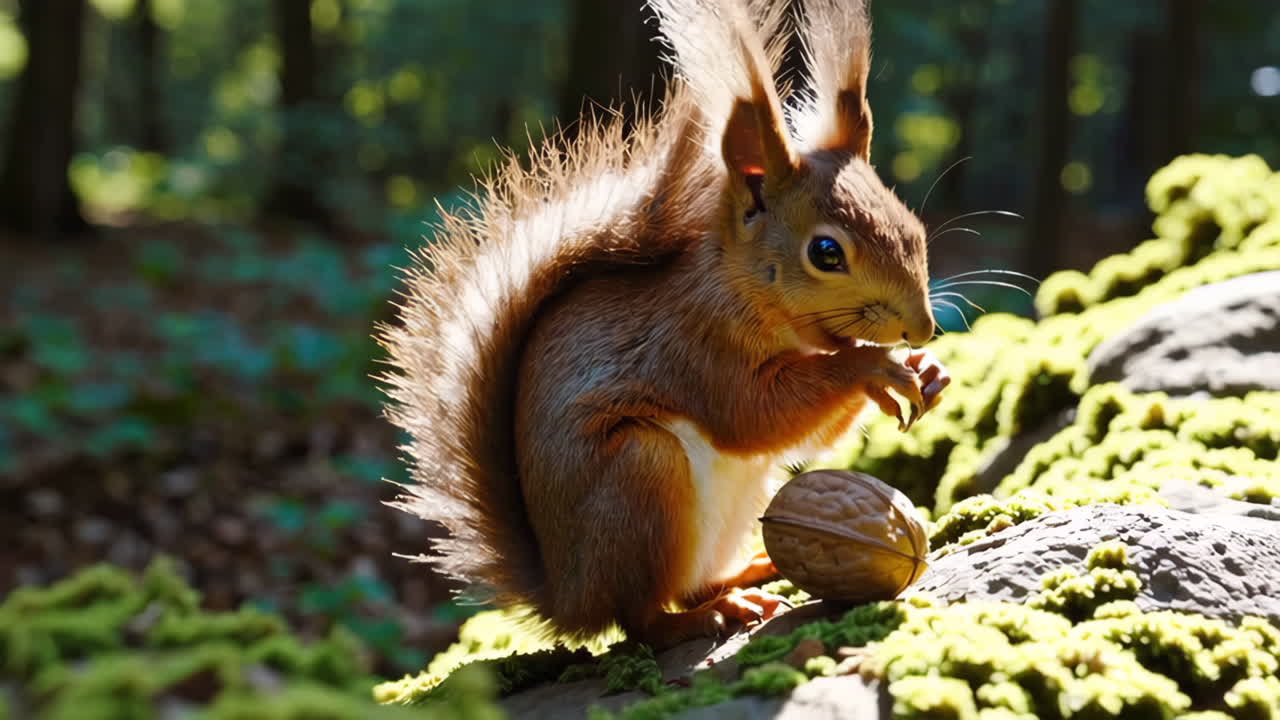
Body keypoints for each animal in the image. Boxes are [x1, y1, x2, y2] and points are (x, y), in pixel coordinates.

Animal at [381, 0, 950, 650]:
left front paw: (926, 371)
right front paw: (871, 366)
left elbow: (807, 435)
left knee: (688, 584)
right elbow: (754, 415)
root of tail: (569, 599)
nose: (921, 329)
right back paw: (706, 616)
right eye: (826, 252)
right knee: (642, 620)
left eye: (912, 226)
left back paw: (749, 575)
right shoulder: (693, 343)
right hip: (641, 475)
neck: (744, 294)